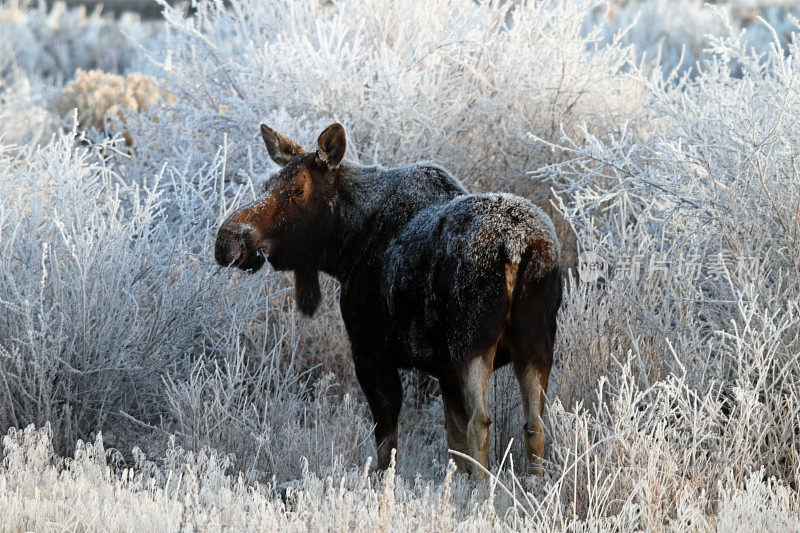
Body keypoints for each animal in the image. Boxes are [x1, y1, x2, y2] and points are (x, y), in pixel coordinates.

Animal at [214, 122, 564, 476]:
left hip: (472, 342)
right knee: (534, 425)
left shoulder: (371, 353)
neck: (345, 247)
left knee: (481, 423)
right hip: (537, 342)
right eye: (268, 184)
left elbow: (386, 449)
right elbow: (454, 445)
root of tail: (517, 246)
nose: (228, 239)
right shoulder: (445, 371)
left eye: (297, 190)